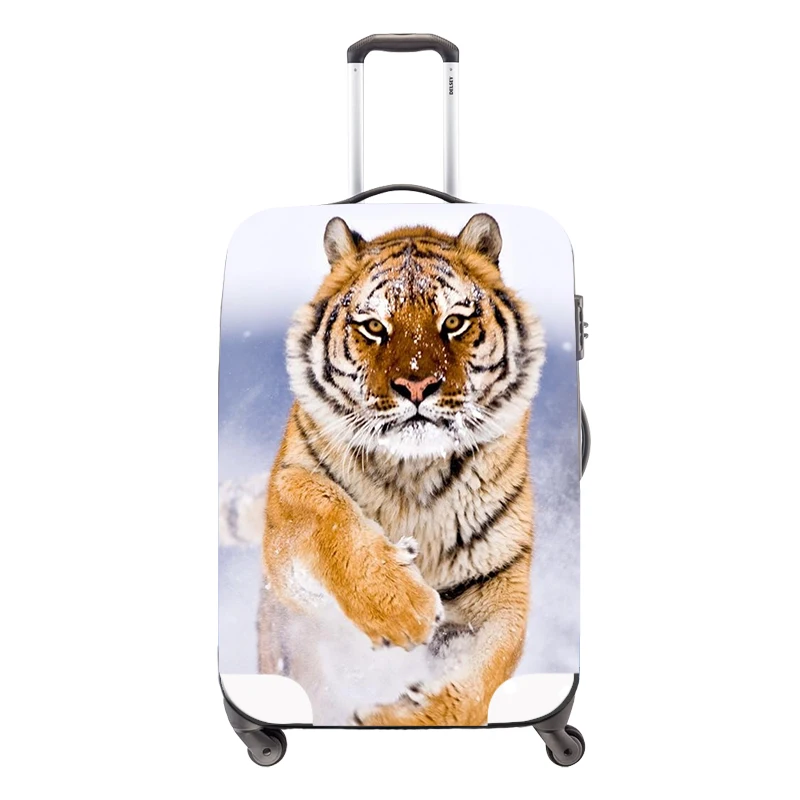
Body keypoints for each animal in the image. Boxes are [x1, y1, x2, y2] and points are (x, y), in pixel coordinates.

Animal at [260, 213, 546, 726]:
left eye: (453, 321)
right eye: (374, 326)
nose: (416, 384)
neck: (415, 473)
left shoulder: (497, 586)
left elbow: (477, 686)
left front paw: (390, 718)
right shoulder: (285, 517)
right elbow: (326, 511)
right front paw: (403, 608)